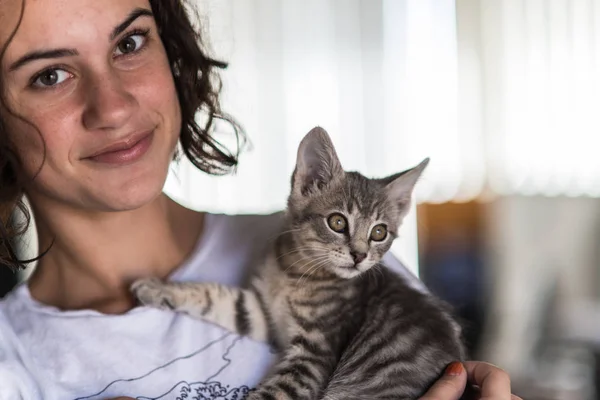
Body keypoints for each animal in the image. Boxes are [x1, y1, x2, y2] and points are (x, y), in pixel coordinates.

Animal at [134, 127, 466, 400]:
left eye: (379, 233)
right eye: (337, 222)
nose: (359, 255)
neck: (294, 273)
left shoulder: (314, 354)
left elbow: (274, 394)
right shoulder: (263, 314)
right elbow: (216, 297)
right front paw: (157, 288)